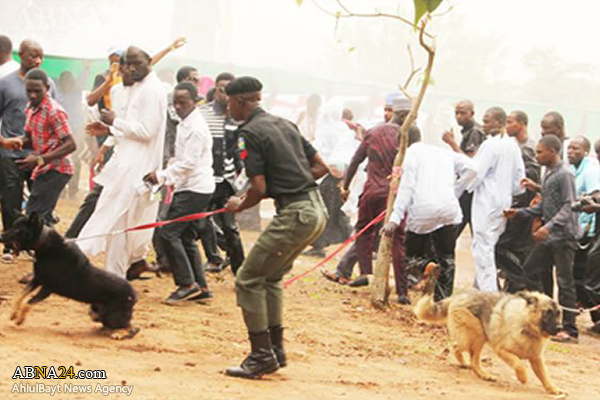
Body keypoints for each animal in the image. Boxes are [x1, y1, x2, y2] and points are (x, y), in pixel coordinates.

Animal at [0, 214, 138, 340]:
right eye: (13, 225)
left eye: (18, 230)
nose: (1, 236)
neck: (45, 244)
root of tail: (133, 295)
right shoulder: (37, 279)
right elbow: (20, 295)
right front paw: (13, 314)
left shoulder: (47, 288)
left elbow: (28, 303)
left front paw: (19, 320)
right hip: (96, 312)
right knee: (117, 325)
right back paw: (104, 331)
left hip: (114, 316)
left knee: (132, 327)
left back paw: (119, 334)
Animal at [414, 264, 564, 396]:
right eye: (547, 312)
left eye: (558, 313)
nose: (560, 328)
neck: (527, 326)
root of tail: (457, 296)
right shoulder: (502, 350)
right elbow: (519, 364)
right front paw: (523, 378)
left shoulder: (536, 359)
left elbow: (544, 375)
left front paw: (553, 389)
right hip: (476, 336)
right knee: (458, 348)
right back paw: (473, 367)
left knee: (469, 358)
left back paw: (478, 371)